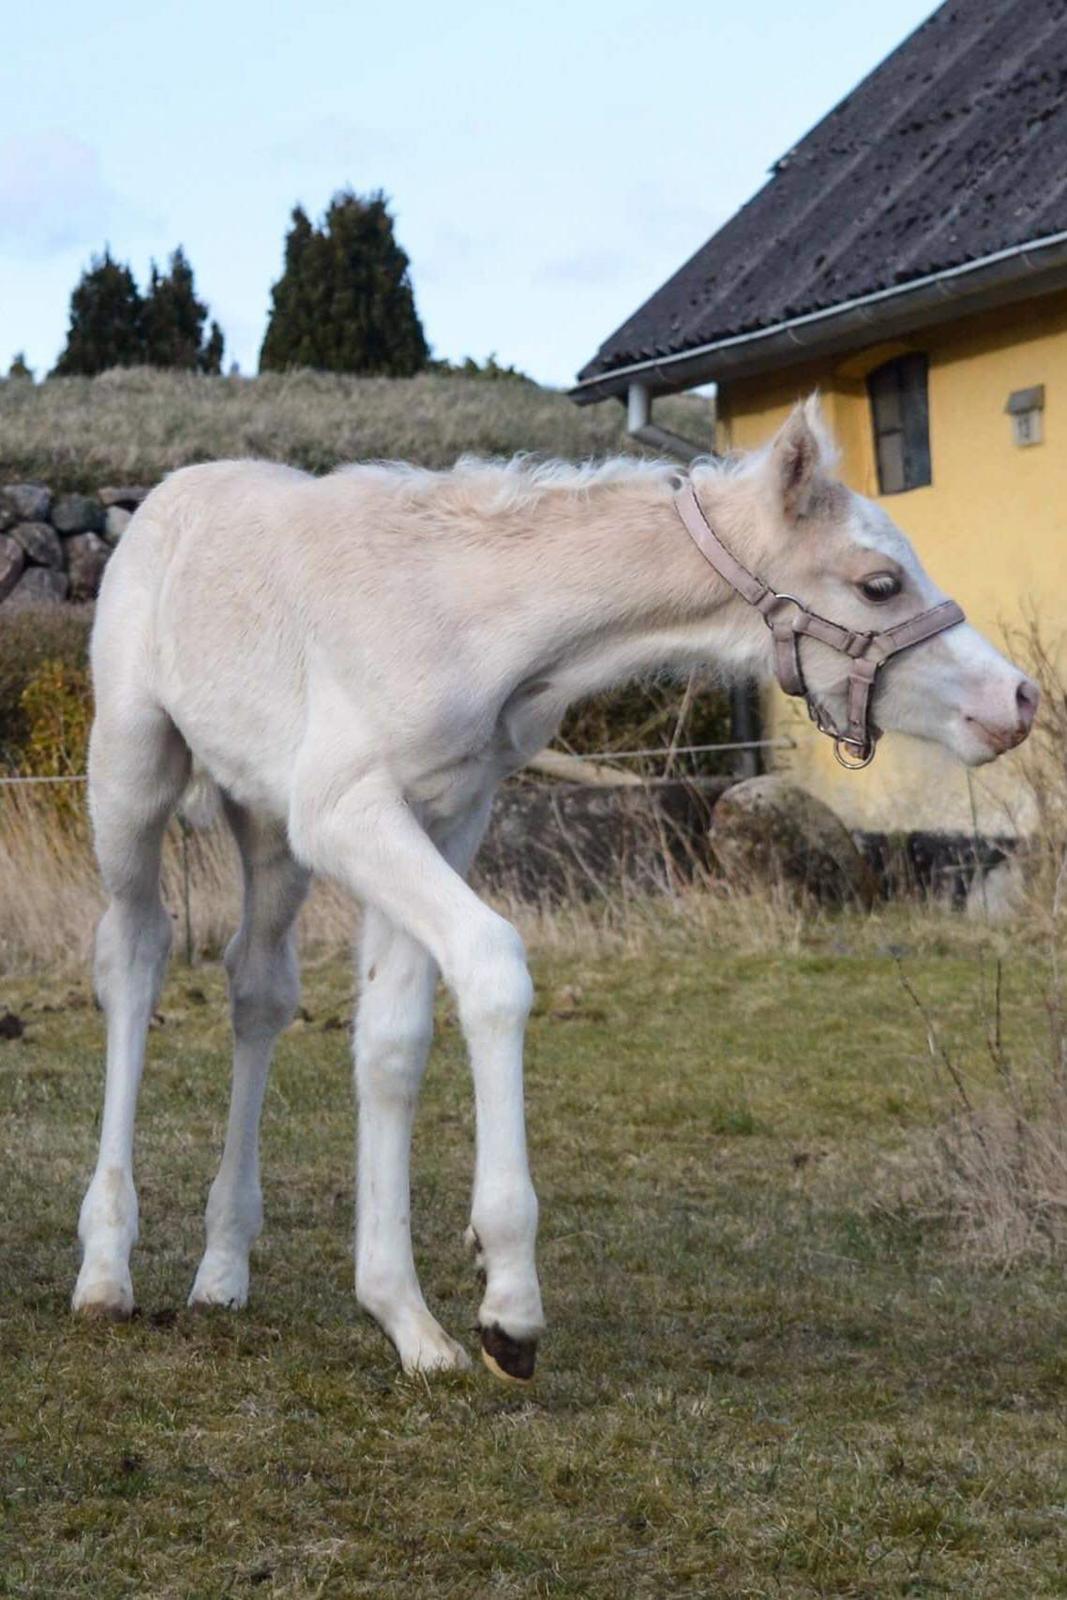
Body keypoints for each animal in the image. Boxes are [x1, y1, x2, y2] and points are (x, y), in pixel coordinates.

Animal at [73, 400, 1036, 1376]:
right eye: (880, 584)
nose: (1018, 700)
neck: (473, 618)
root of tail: (171, 491)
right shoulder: (344, 809)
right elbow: (492, 967)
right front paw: (507, 1303)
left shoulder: (443, 813)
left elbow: (391, 1041)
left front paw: (405, 1320)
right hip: (133, 766)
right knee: (134, 955)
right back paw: (106, 1269)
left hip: (268, 826)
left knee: (258, 986)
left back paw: (222, 1269)